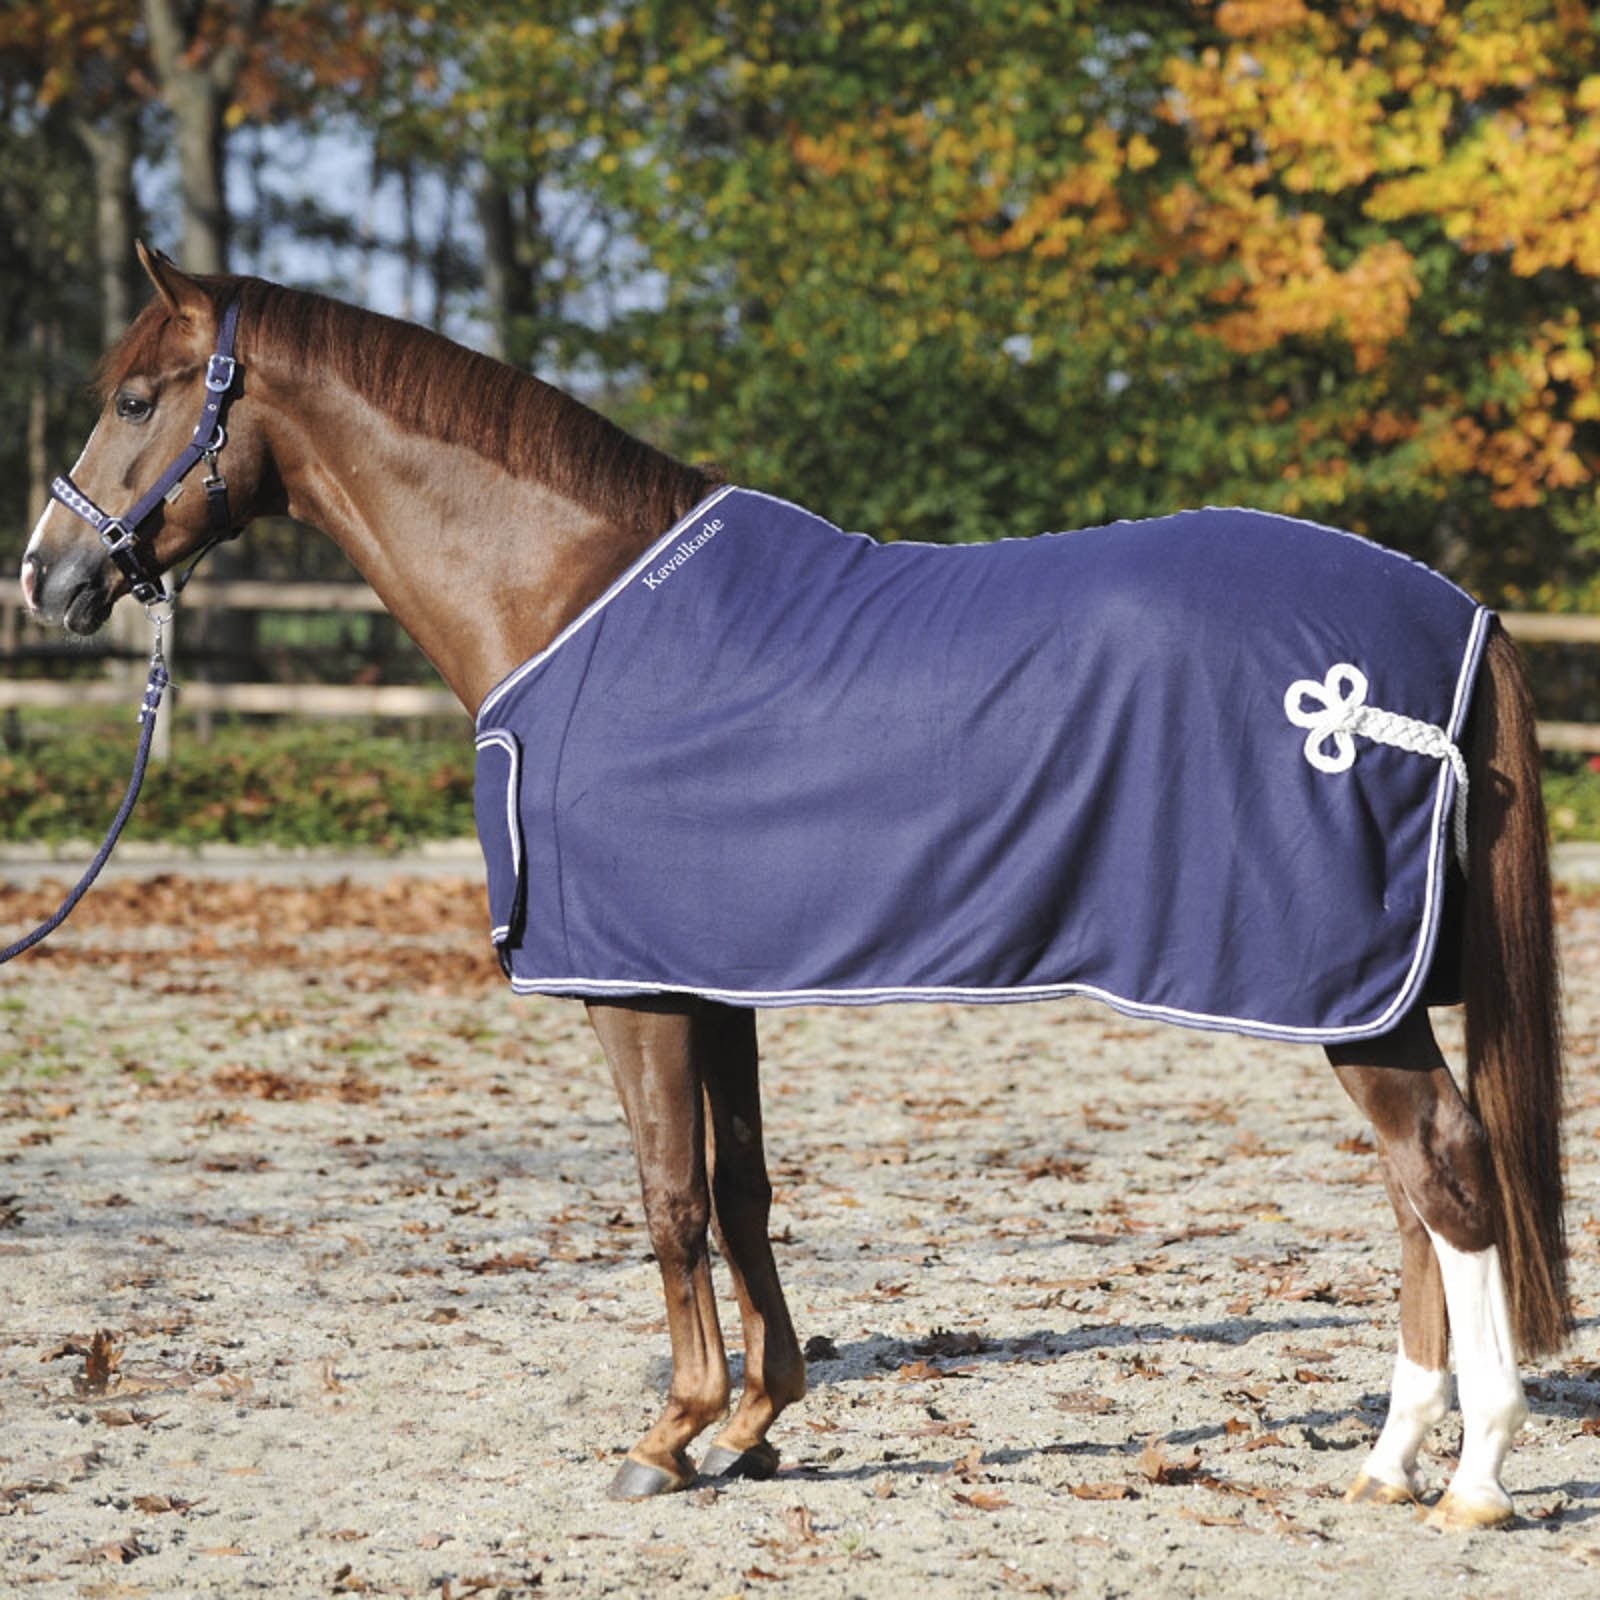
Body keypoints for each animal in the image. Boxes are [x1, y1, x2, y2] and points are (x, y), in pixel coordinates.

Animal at [19, 245, 1568, 1526]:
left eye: (143, 396)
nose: (44, 576)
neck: (565, 594)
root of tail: (1450, 617)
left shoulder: (632, 987)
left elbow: (669, 1198)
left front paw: (672, 1432)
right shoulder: (716, 978)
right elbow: (746, 1184)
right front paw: (760, 1419)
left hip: (1341, 986)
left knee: (1445, 1170)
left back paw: (1474, 1475)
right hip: (1359, 993)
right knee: (1414, 1184)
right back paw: (1388, 1459)